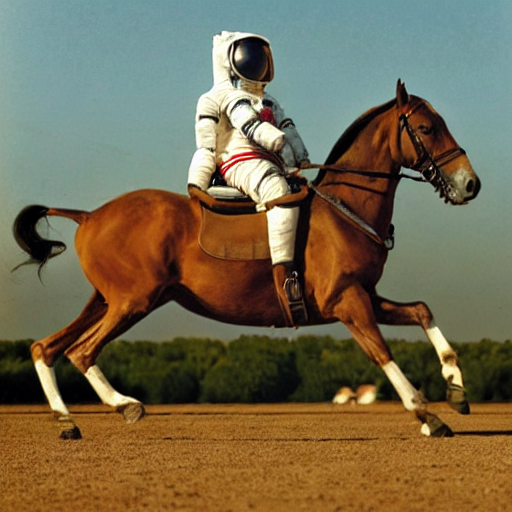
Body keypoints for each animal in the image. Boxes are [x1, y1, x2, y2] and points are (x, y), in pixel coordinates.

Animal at [14, 81, 482, 440]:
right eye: (426, 128)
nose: (470, 184)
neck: (346, 209)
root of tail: (89, 215)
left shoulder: (366, 295)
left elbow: (422, 311)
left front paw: (457, 391)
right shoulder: (348, 302)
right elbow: (384, 355)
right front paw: (428, 415)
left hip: (107, 300)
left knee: (47, 347)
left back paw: (67, 420)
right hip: (133, 301)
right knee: (80, 351)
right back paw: (125, 404)